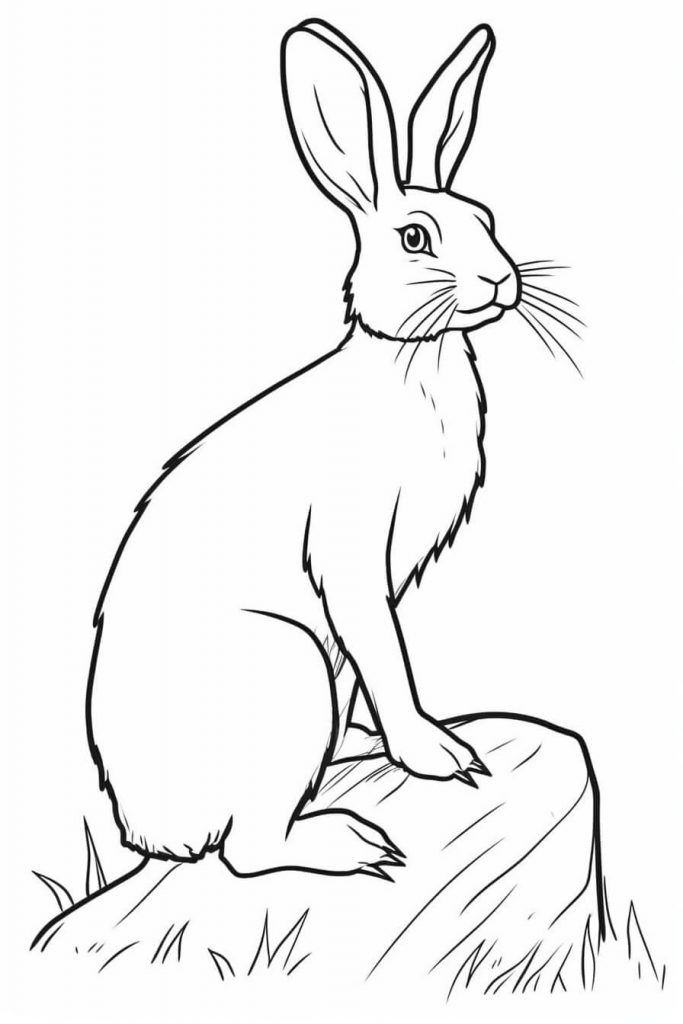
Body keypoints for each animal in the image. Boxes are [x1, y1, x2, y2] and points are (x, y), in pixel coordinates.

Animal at [86, 20, 521, 878]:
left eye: (485, 218)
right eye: (415, 238)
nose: (500, 280)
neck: (409, 363)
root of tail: (149, 830)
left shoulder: (378, 589)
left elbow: (369, 664)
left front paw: (372, 744)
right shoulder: (351, 557)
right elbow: (383, 651)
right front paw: (435, 753)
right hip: (284, 670)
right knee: (249, 851)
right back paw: (353, 843)